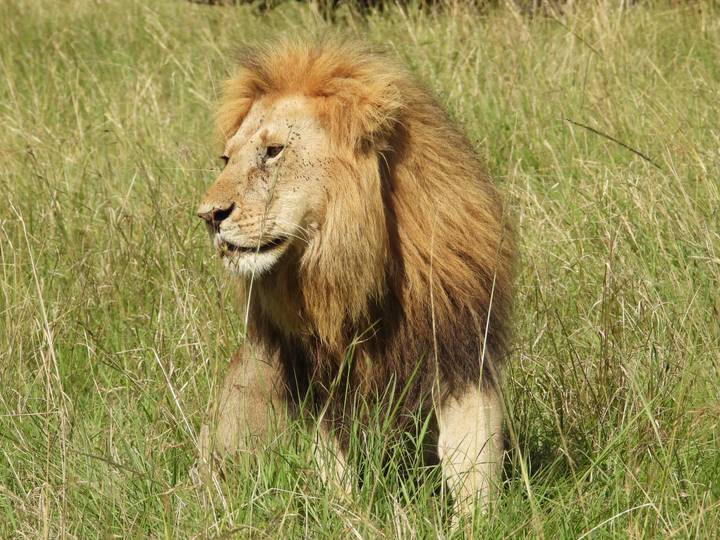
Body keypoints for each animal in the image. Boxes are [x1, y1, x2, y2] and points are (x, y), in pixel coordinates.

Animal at [196, 37, 515, 515]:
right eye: (226, 158)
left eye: (273, 151)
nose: (208, 216)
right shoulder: (321, 385)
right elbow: (334, 474)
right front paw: (350, 519)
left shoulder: (460, 351)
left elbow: (472, 462)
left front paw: (480, 522)